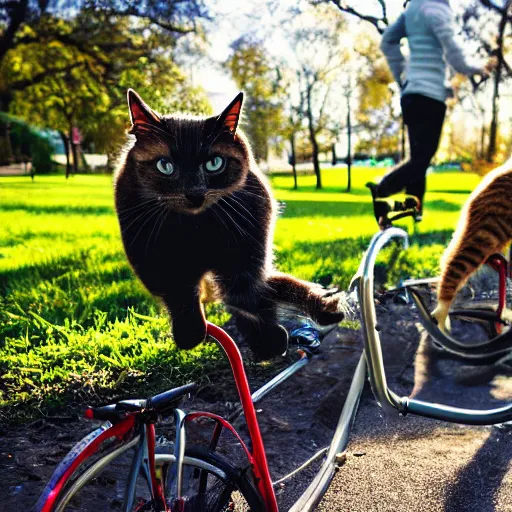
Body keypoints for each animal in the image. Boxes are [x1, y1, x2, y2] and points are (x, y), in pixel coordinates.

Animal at [116, 89, 344, 360]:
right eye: (165, 166)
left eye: (214, 163)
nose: (195, 194)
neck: (198, 228)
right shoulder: (155, 260)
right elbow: (180, 293)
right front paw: (190, 331)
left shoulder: (245, 260)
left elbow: (253, 295)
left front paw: (275, 334)